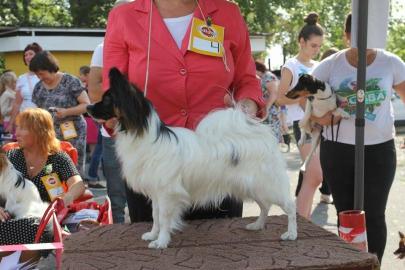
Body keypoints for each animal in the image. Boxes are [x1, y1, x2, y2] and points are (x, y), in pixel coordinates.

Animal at [87, 67, 296, 249]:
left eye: (107, 100)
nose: (88, 106)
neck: (141, 132)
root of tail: (263, 137)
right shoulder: (157, 192)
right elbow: (155, 216)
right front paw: (153, 235)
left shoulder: (167, 193)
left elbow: (164, 218)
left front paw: (161, 242)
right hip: (253, 186)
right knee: (265, 206)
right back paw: (258, 225)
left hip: (267, 185)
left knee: (289, 206)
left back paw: (291, 234)